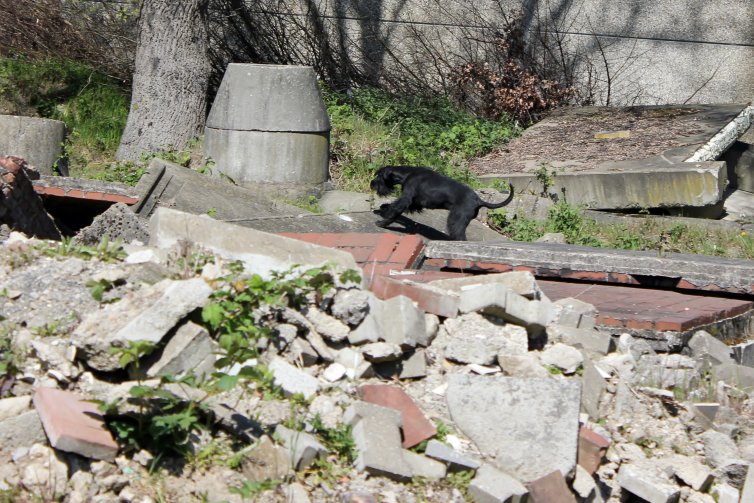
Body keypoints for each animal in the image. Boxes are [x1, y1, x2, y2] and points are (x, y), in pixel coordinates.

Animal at [368, 166, 516, 241]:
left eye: (379, 176)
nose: (372, 184)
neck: (408, 174)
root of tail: (478, 200)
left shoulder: (406, 198)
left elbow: (395, 209)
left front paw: (382, 221)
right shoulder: (415, 203)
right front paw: (384, 207)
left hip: (455, 219)